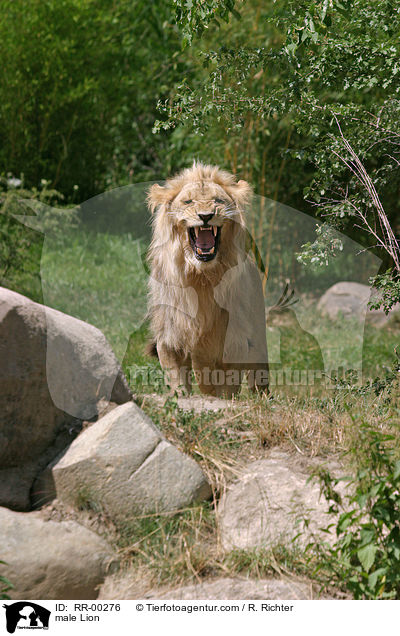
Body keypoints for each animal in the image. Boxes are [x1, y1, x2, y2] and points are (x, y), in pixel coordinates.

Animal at [147, 161, 268, 396]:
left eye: (218, 201)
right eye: (188, 201)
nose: (205, 215)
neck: (201, 277)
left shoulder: (234, 341)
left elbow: (228, 384)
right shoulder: (170, 335)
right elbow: (175, 375)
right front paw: (180, 397)